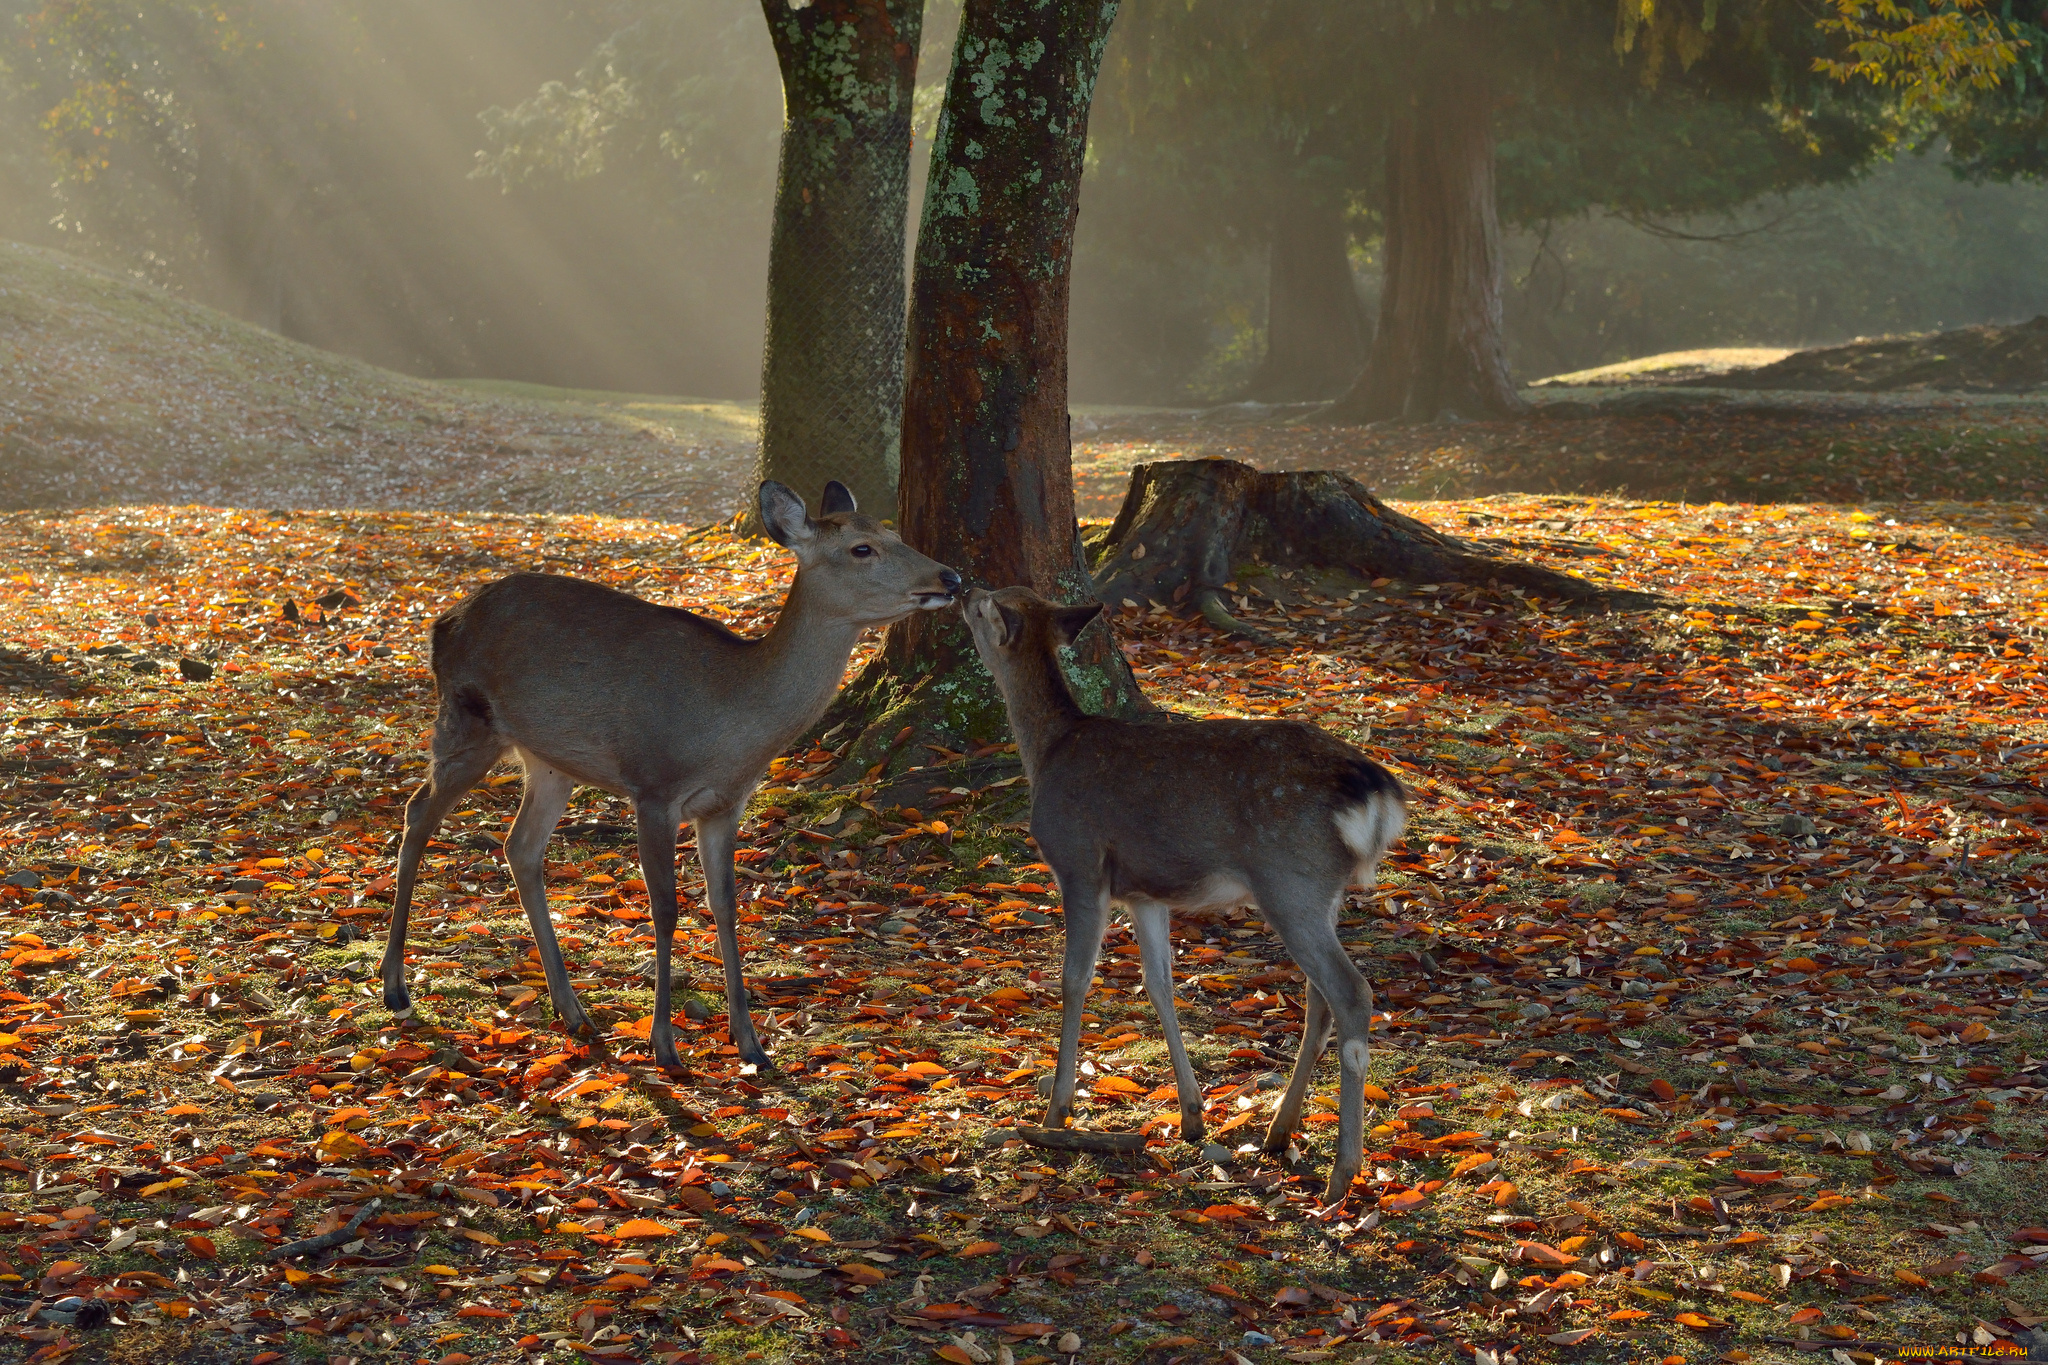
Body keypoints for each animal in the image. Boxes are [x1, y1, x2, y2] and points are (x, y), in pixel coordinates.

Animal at [382, 485, 958, 1072]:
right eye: (862, 548)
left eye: (894, 532)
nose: (950, 577)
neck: (730, 727)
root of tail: (440, 623)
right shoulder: (653, 786)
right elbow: (664, 908)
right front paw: (664, 1044)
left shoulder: (725, 804)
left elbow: (725, 905)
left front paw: (751, 1043)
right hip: (466, 719)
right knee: (417, 812)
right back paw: (396, 988)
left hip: (550, 760)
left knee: (519, 845)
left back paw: (573, 1011)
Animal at [966, 581, 1400, 1203]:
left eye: (986, 605)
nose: (960, 588)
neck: (1047, 752)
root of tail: (1376, 791)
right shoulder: (1145, 894)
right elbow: (1159, 985)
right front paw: (1193, 1115)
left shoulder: (1079, 863)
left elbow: (1074, 980)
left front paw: (1057, 1110)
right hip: (1322, 892)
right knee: (1320, 1000)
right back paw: (1279, 1130)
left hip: (1289, 880)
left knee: (1351, 992)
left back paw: (1342, 1171)